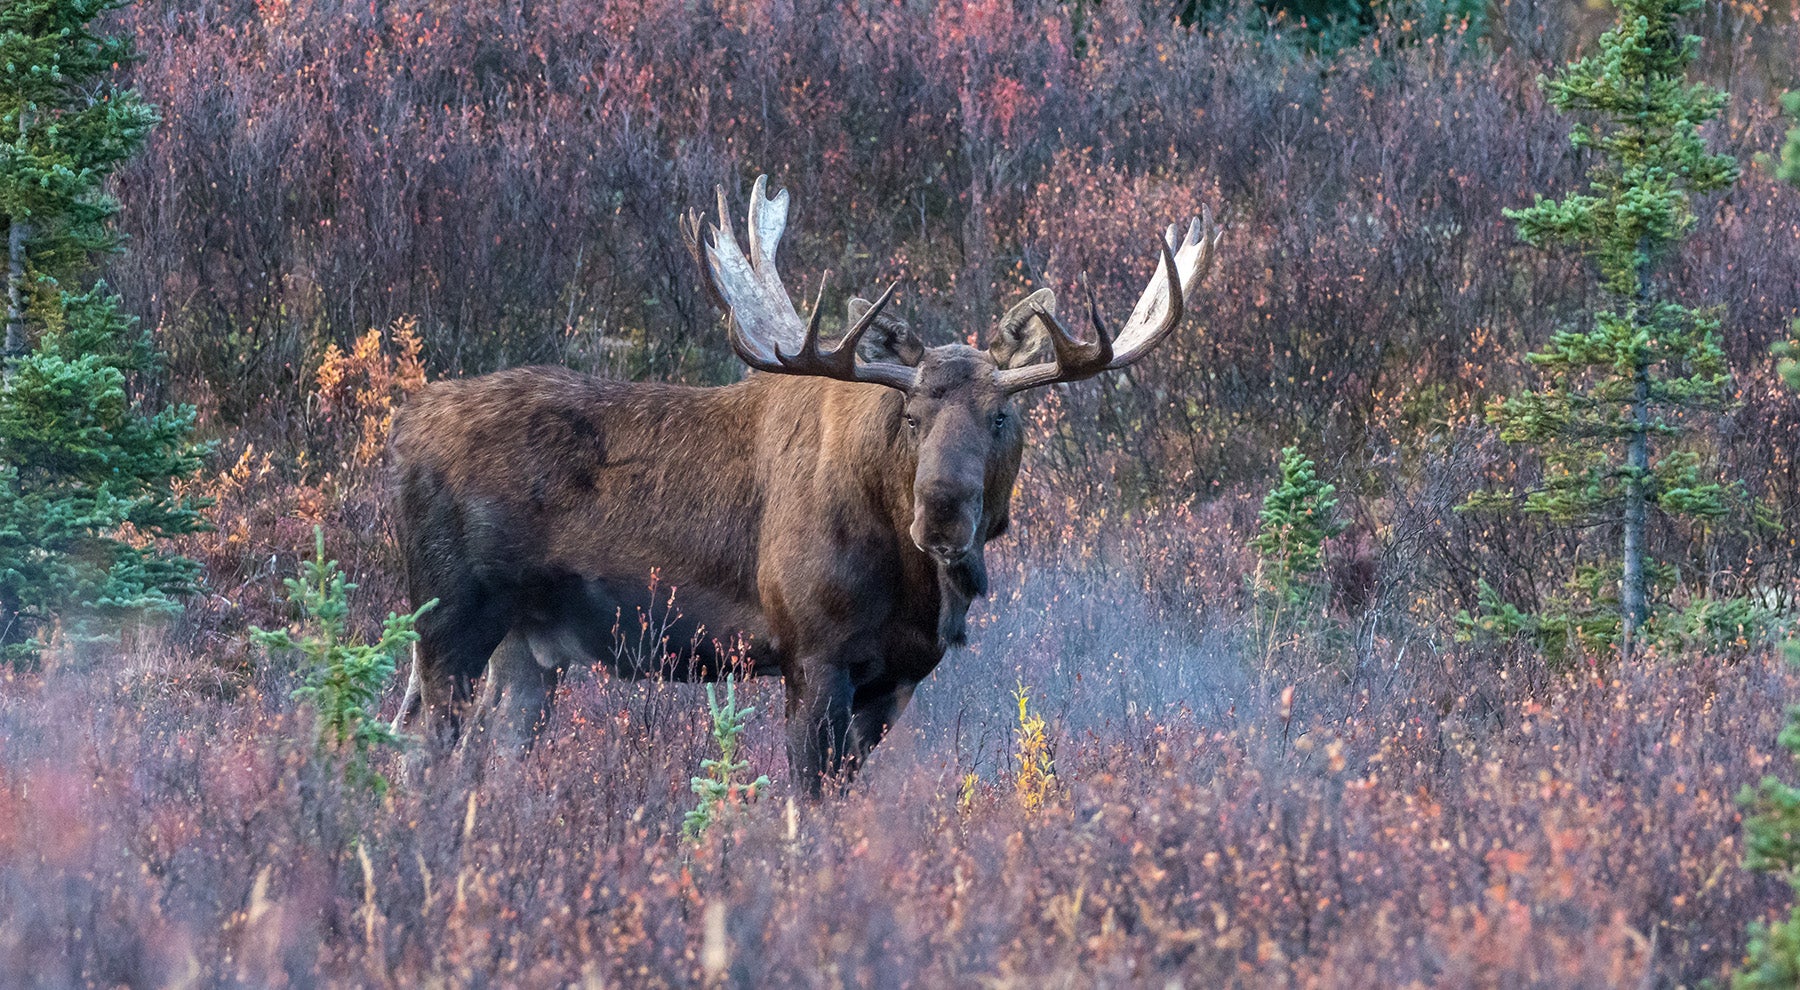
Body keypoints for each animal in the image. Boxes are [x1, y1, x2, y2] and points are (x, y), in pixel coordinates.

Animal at [394, 176, 1224, 799]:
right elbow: (805, 804)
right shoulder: (812, 652)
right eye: (912, 416)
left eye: (1001, 415)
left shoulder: (896, 677)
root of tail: (401, 433)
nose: (942, 514)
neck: (912, 588)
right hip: (449, 616)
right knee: (420, 750)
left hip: (529, 644)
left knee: (484, 759)